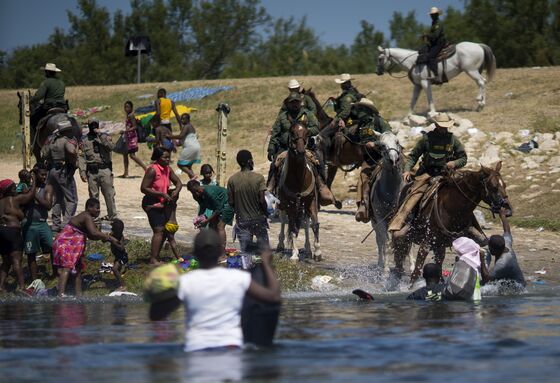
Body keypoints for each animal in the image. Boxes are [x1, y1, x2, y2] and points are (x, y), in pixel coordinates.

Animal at [274, 123, 320, 260]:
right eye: (292, 132)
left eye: (306, 132)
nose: (301, 151)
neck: (299, 178)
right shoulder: (290, 206)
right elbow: (292, 228)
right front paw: (294, 254)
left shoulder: (311, 201)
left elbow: (314, 224)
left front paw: (317, 252)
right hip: (282, 206)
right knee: (284, 221)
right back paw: (280, 245)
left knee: (305, 224)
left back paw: (308, 249)